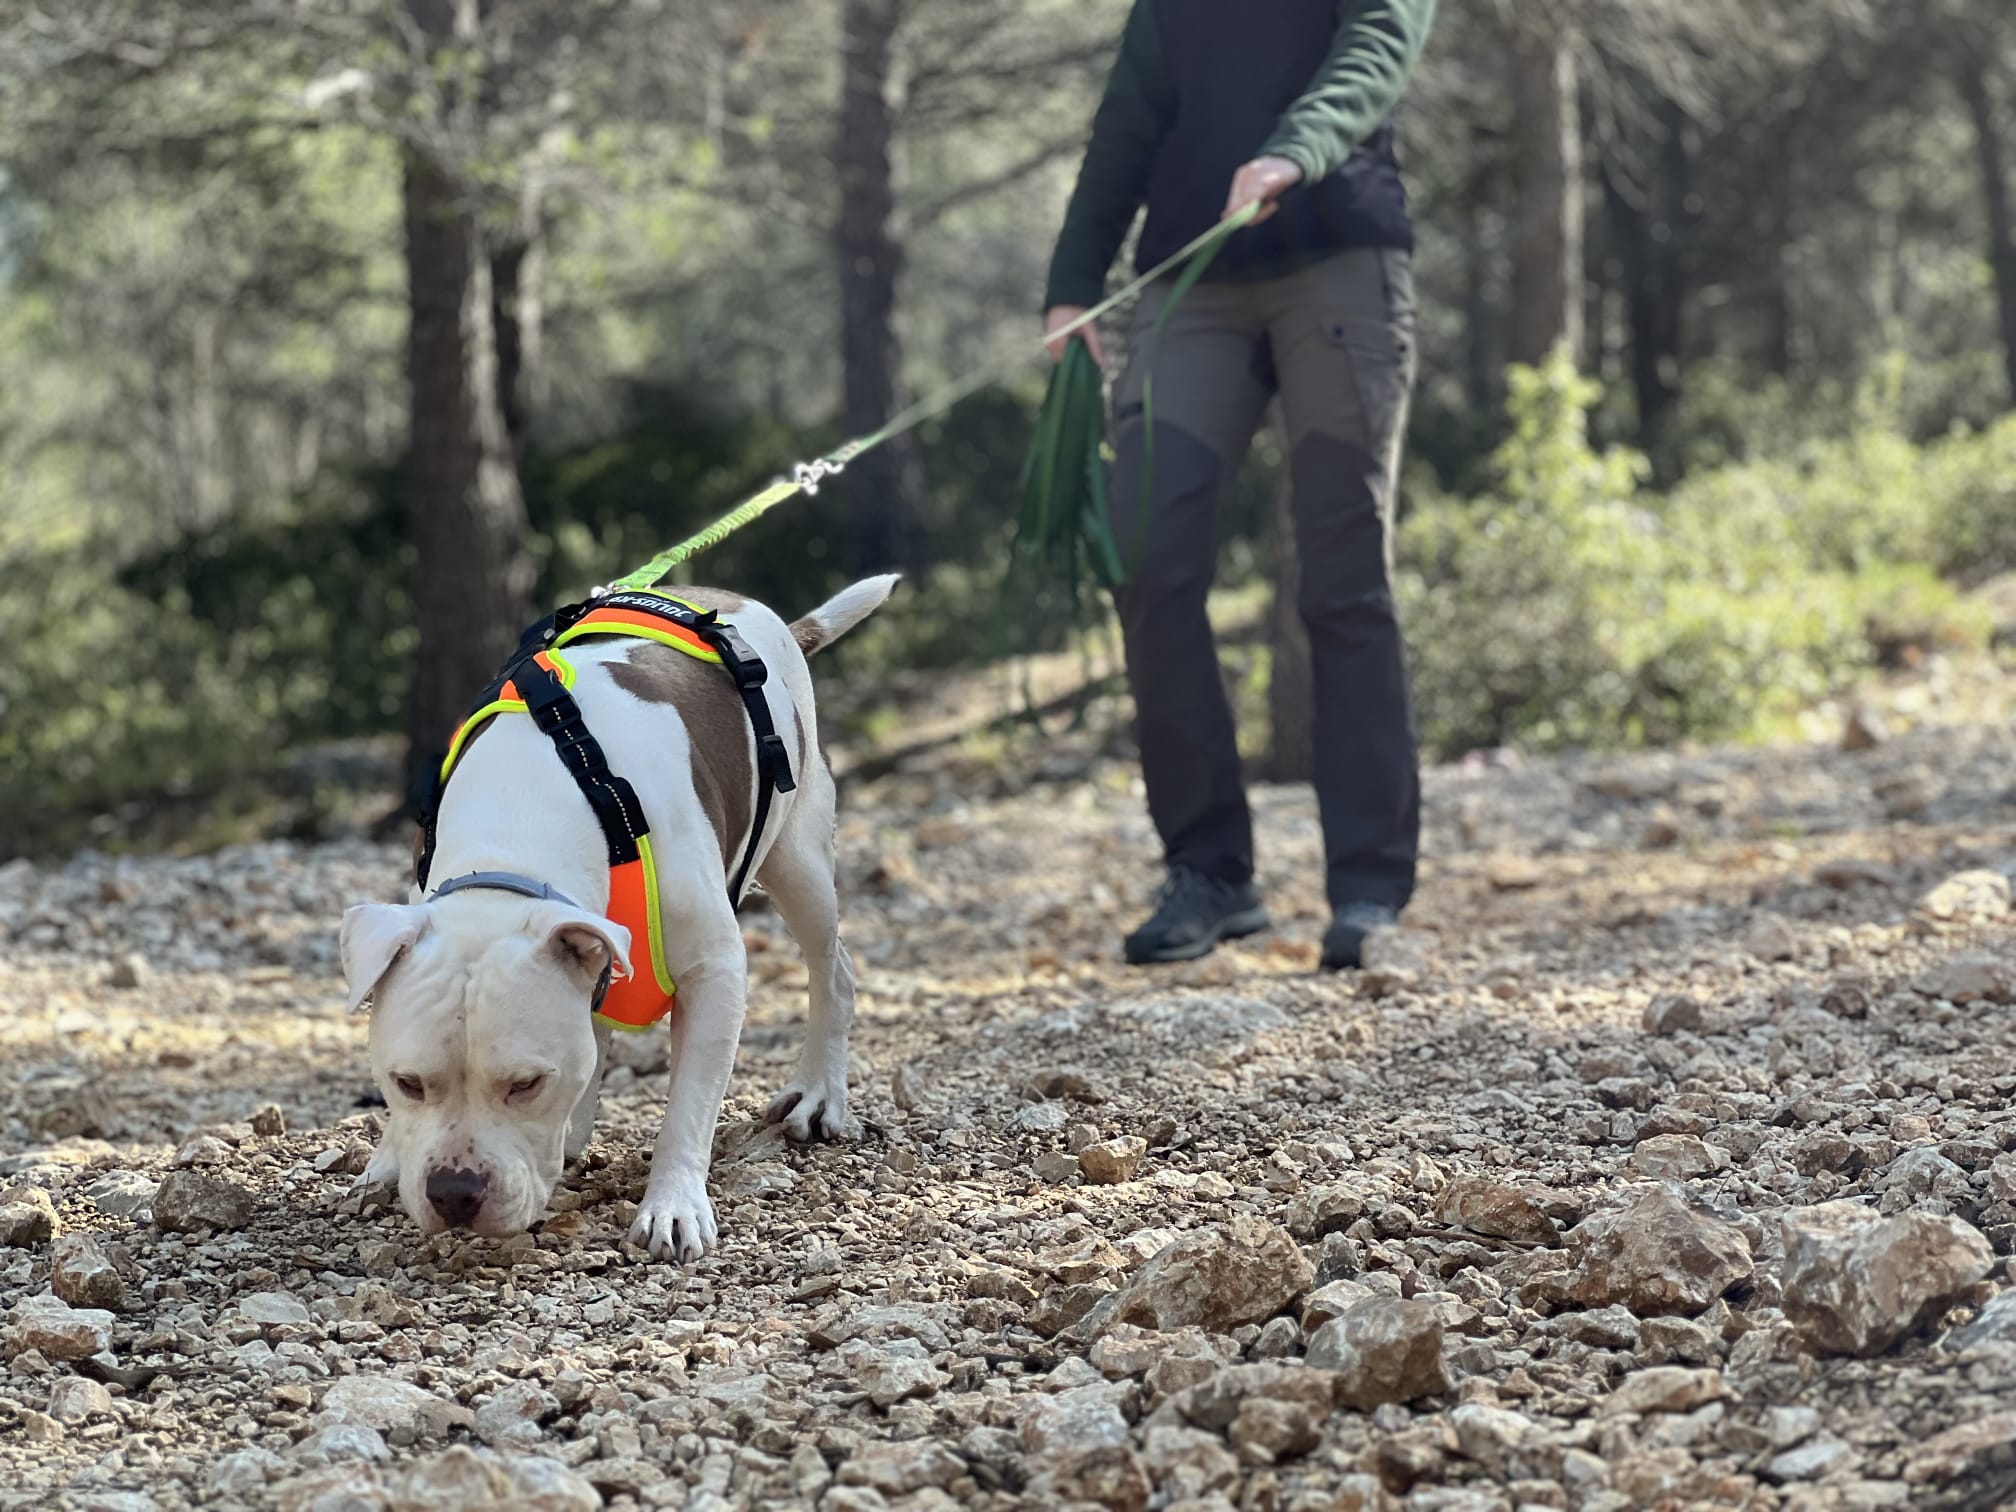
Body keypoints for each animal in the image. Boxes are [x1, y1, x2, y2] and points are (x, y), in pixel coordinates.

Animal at [336, 580, 891, 1266]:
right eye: (407, 1083)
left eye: (526, 1084)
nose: (454, 1191)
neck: (518, 838)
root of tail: (763, 613)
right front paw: (388, 1158)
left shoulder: (715, 974)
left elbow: (689, 1105)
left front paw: (673, 1205)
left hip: (799, 857)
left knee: (831, 965)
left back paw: (819, 1094)